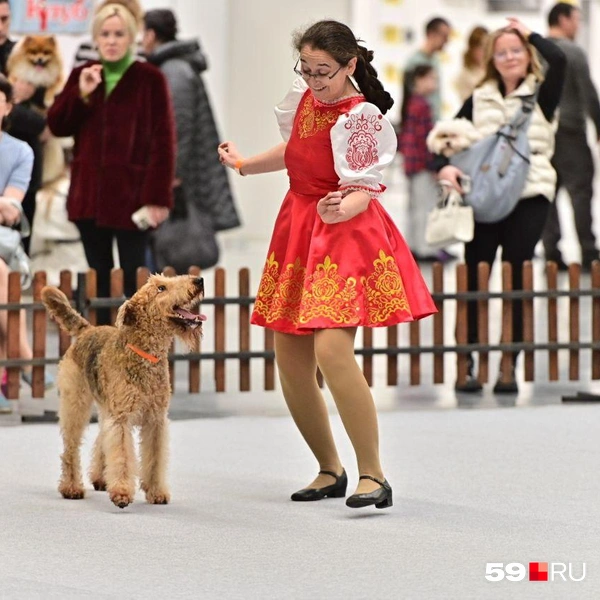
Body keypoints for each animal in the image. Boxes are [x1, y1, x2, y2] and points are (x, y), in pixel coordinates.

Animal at [41, 274, 206, 508]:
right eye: (161, 288)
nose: (199, 280)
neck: (145, 356)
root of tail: (87, 330)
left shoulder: (155, 420)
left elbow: (154, 458)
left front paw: (156, 492)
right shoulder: (121, 419)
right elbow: (122, 456)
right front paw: (121, 493)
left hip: (105, 407)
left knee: (100, 438)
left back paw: (100, 478)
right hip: (75, 404)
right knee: (70, 449)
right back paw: (71, 488)